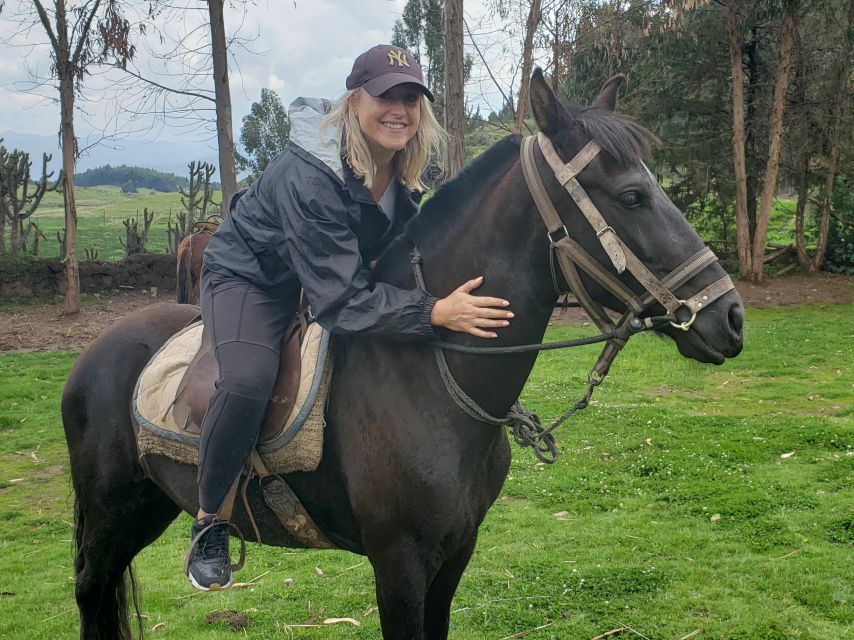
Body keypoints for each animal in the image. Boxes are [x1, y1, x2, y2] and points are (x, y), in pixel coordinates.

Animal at [61, 70, 744, 640]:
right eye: (631, 197)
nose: (730, 317)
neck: (431, 382)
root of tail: (93, 355)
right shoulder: (399, 563)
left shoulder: (454, 553)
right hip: (111, 514)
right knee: (91, 592)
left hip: (147, 507)